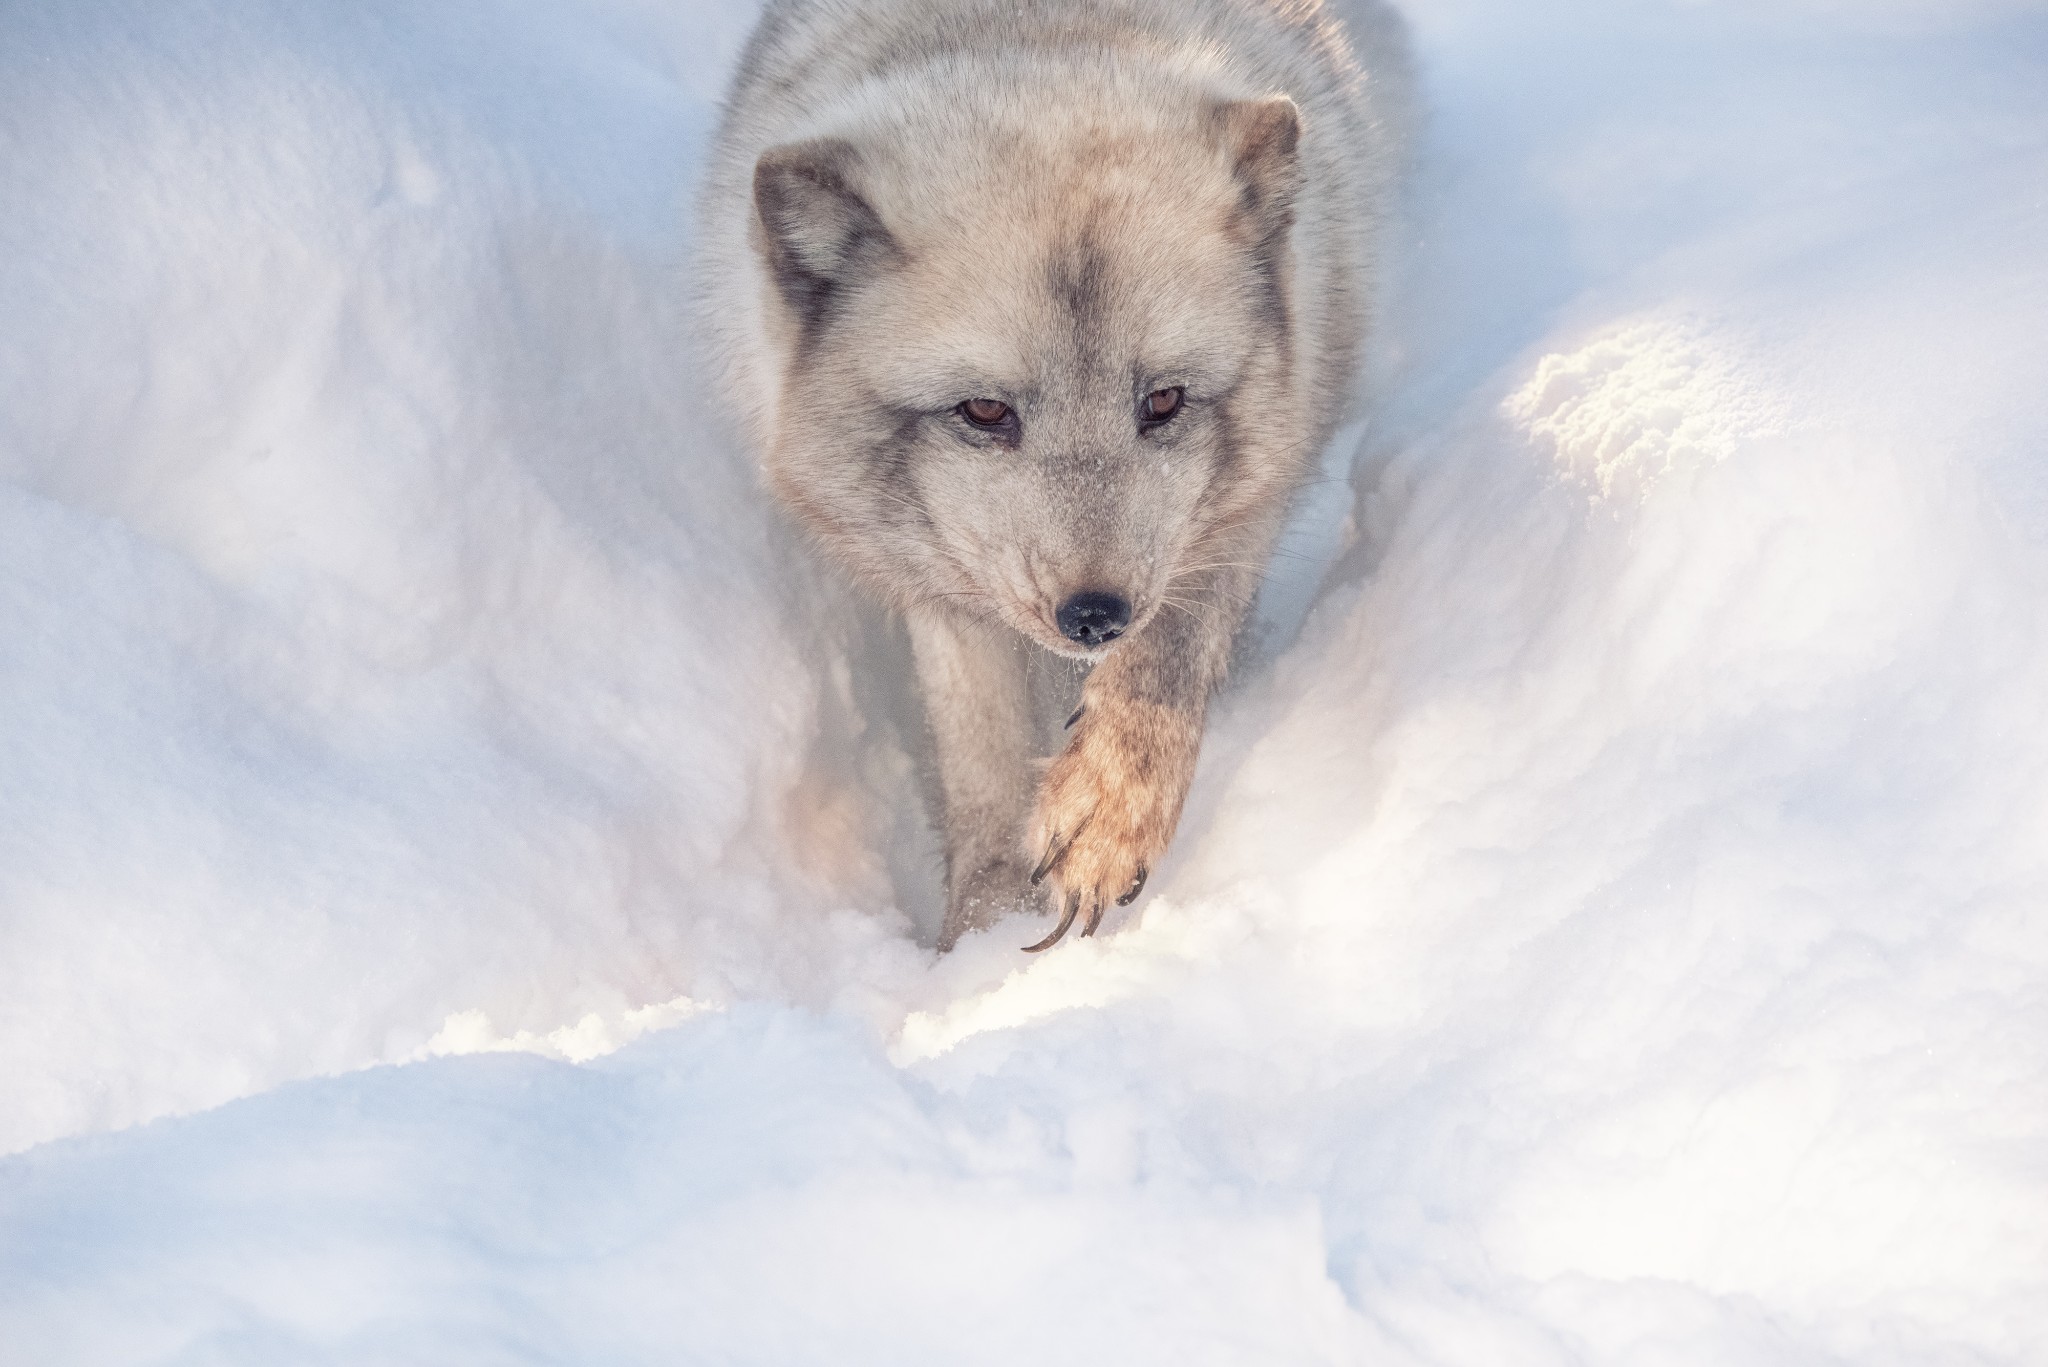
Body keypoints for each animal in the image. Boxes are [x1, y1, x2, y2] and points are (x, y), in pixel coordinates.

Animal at [700, 0, 1409, 950]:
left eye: (1165, 400)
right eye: (984, 412)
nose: (1096, 615)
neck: (1049, 31)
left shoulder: (1252, 489)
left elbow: (1168, 657)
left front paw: (1106, 817)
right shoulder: (943, 588)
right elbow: (982, 762)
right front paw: (981, 938)